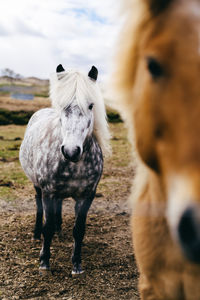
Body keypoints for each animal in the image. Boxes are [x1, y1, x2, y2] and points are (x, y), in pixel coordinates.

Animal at [19, 65, 110, 274]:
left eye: (91, 105)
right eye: (62, 106)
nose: (70, 151)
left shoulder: (87, 195)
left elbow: (79, 230)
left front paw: (76, 264)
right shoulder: (49, 192)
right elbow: (47, 227)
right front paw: (44, 262)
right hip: (39, 187)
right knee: (39, 207)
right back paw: (36, 234)